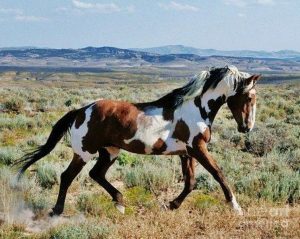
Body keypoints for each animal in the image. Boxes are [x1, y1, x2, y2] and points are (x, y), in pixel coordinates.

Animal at [15, 66, 262, 217]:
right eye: (250, 97)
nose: (247, 127)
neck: (196, 109)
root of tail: (81, 110)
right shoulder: (198, 148)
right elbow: (218, 174)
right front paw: (236, 207)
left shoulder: (187, 152)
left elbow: (190, 183)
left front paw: (171, 205)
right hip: (85, 152)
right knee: (67, 176)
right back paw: (57, 211)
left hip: (110, 151)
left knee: (96, 174)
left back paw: (120, 204)